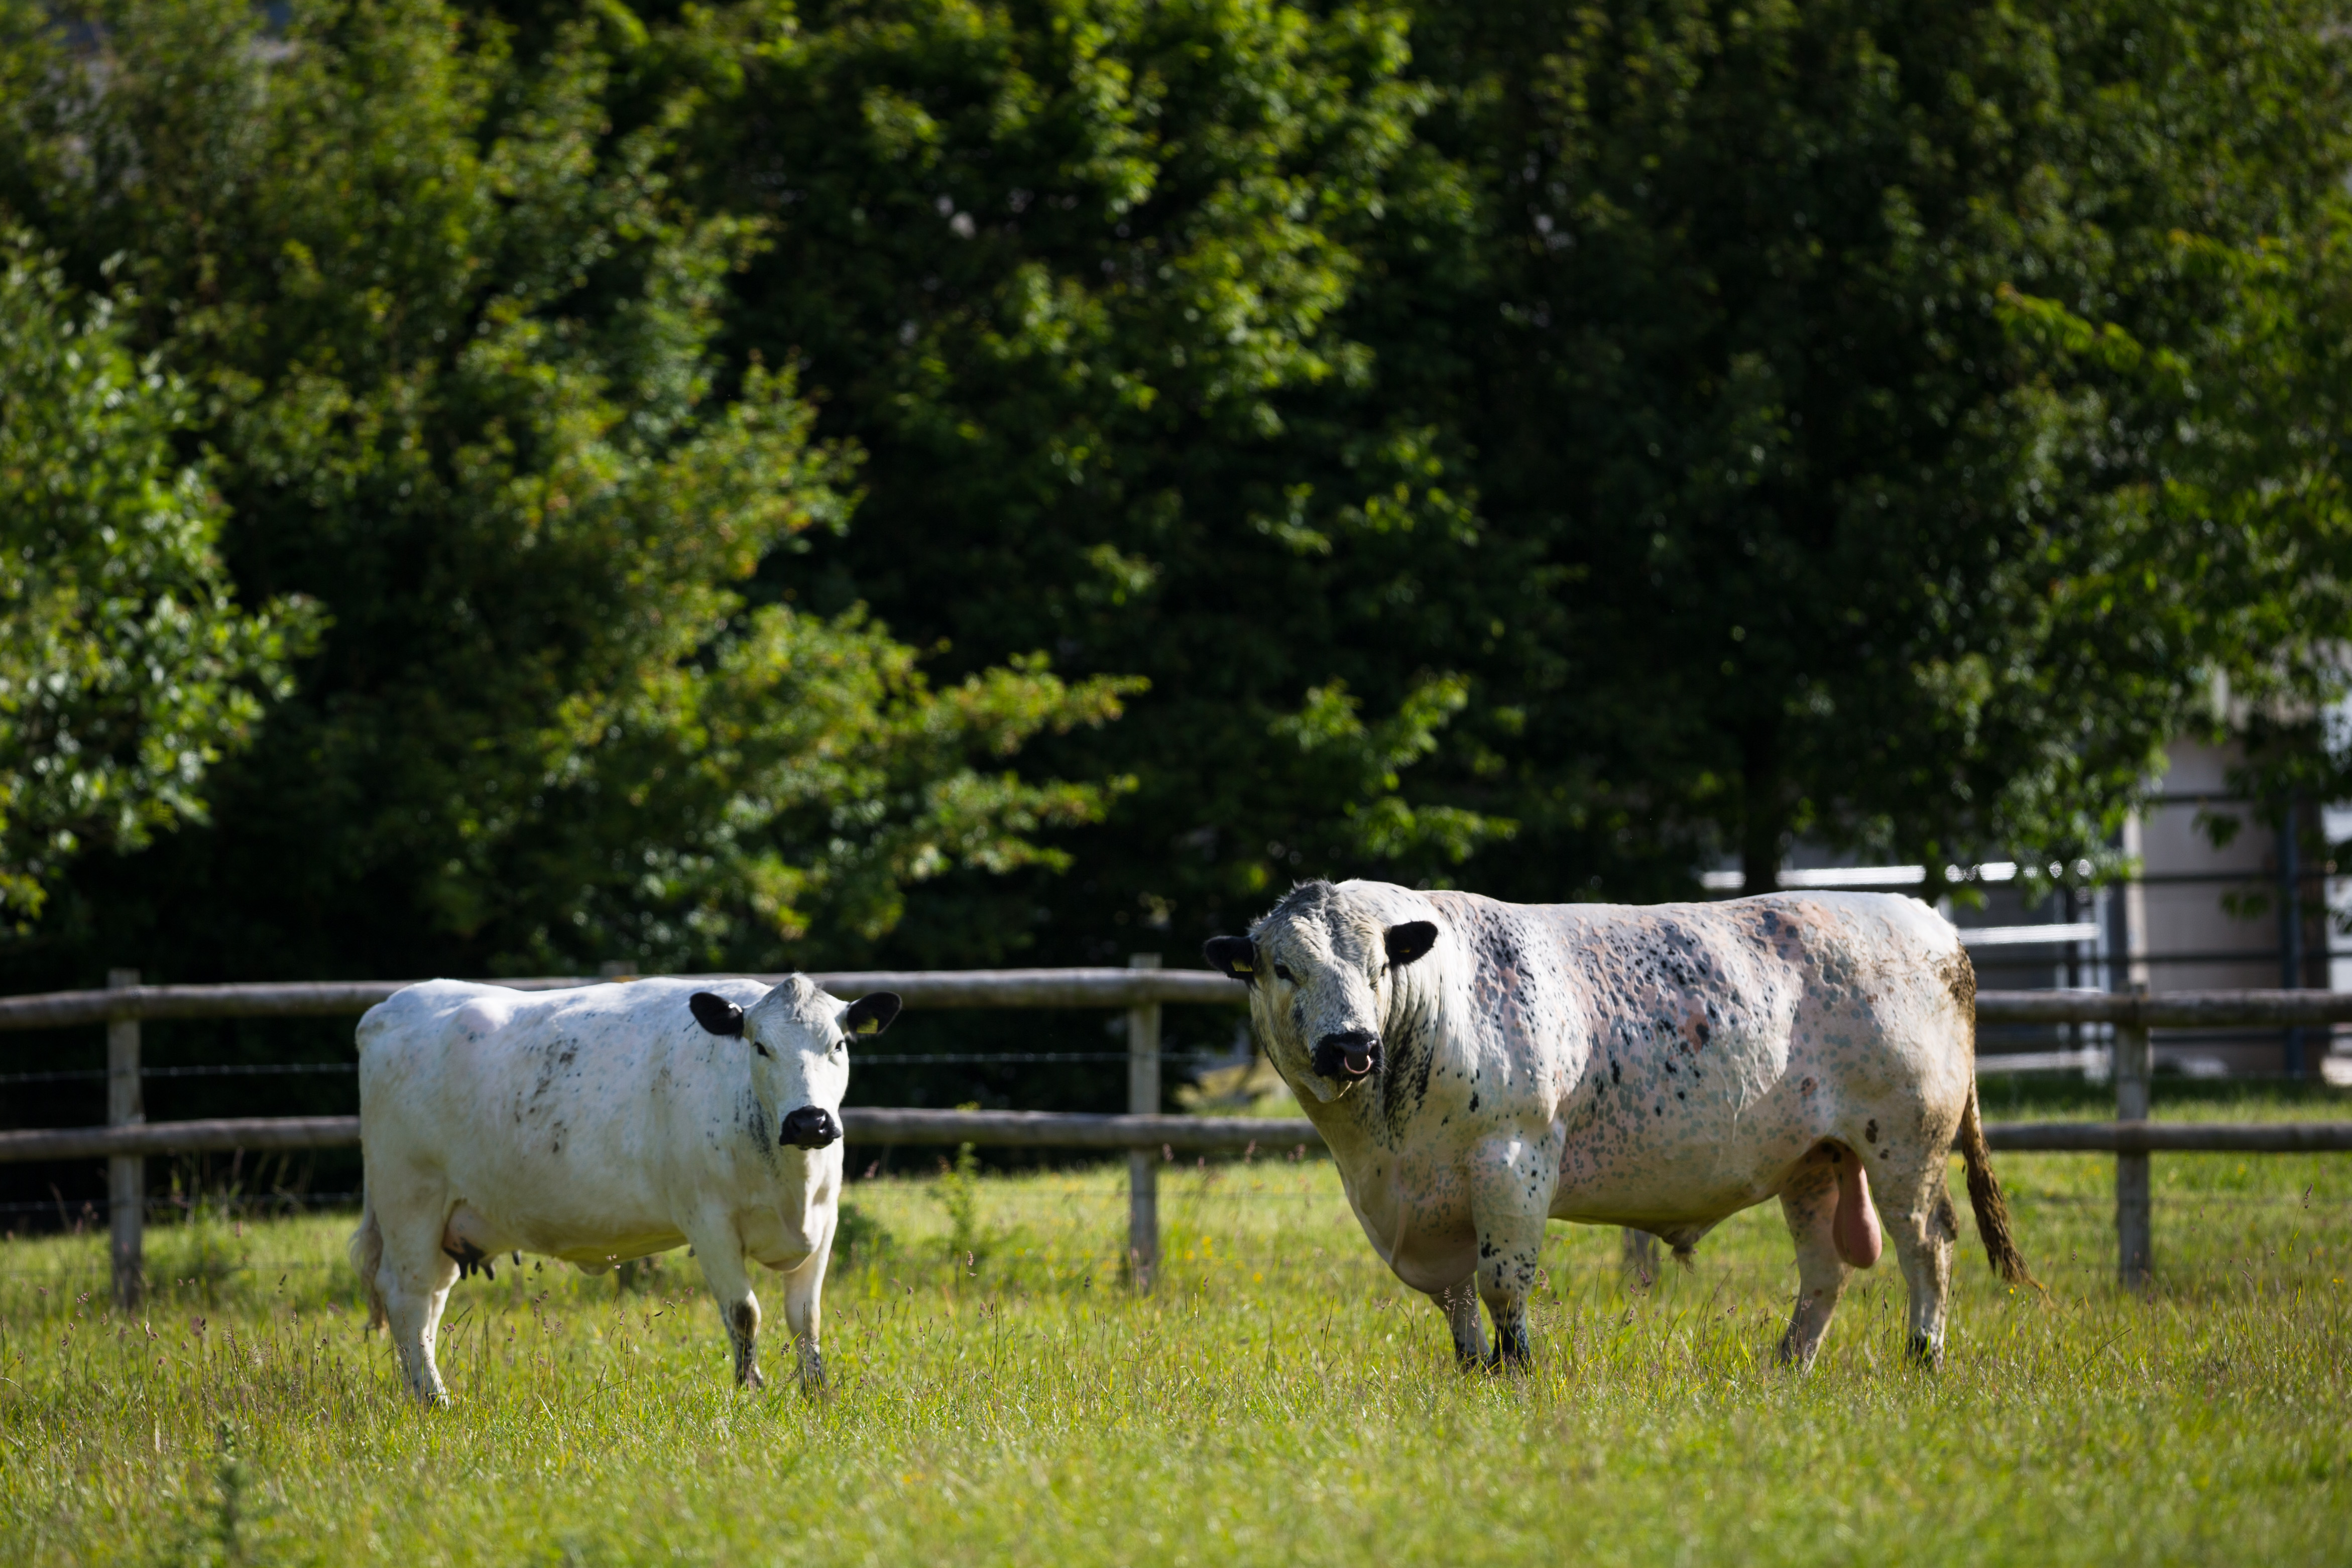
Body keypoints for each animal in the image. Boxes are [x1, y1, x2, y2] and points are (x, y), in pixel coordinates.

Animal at [348, 973, 898, 1401]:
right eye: (761, 1046)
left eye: (838, 1045)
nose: (810, 1121)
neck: (791, 1184)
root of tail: (392, 1006)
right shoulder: (708, 1222)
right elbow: (745, 1313)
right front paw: (749, 1392)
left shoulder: (824, 1221)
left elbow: (806, 1318)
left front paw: (816, 1395)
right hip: (410, 1198)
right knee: (406, 1296)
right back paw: (432, 1398)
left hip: (450, 1218)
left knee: (431, 1299)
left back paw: (422, 1390)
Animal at [1204, 884, 2032, 1373]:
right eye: (1283, 967)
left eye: (1380, 965)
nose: (1351, 1045)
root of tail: (1926, 921)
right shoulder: (1416, 1204)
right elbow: (1456, 1298)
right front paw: (1473, 1371)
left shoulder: (1514, 1158)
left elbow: (1502, 1282)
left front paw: (1517, 1373)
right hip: (1814, 1161)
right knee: (1826, 1268)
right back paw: (1787, 1363)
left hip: (1905, 1142)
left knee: (1929, 1243)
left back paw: (1923, 1356)